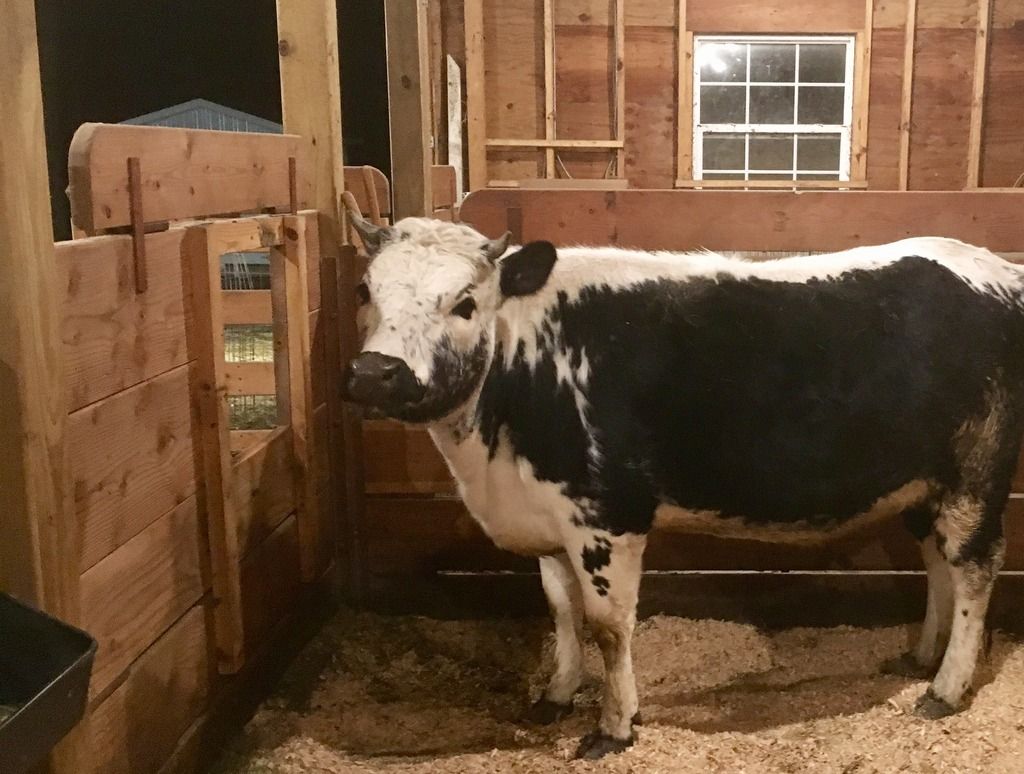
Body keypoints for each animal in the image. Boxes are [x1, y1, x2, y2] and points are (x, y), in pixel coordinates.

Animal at [342, 209, 1024, 759]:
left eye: (464, 302)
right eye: (366, 289)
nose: (376, 373)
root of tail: (997, 269)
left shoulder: (606, 515)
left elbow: (608, 626)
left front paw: (614, 728)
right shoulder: (548, 516)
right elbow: (561, 612)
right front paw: (556, 696)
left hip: (978, 471)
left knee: (974, 566)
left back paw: (946, 688)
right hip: (927, 482)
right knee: (936, 559)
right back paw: (921, 655)